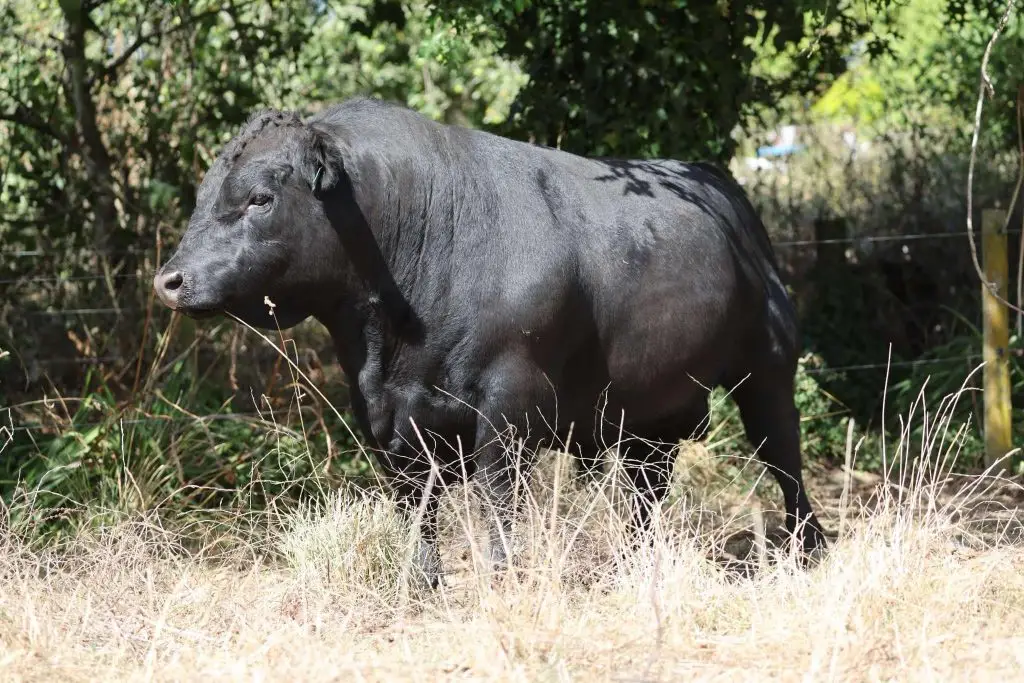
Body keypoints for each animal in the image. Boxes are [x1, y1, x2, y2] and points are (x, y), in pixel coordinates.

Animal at [153, 97, 828, 586]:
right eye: (203, 196)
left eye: (260, 197)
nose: (170, 280)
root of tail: (713, 179)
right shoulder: (387, 417)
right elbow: (414, 506)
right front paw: (420, 583)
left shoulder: (509, 401)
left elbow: (495, 498)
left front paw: (502, 579)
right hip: (651, 409)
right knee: (647, 488)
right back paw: (635, 564)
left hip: (767, 369)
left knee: (782, 456)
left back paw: (808, 548)